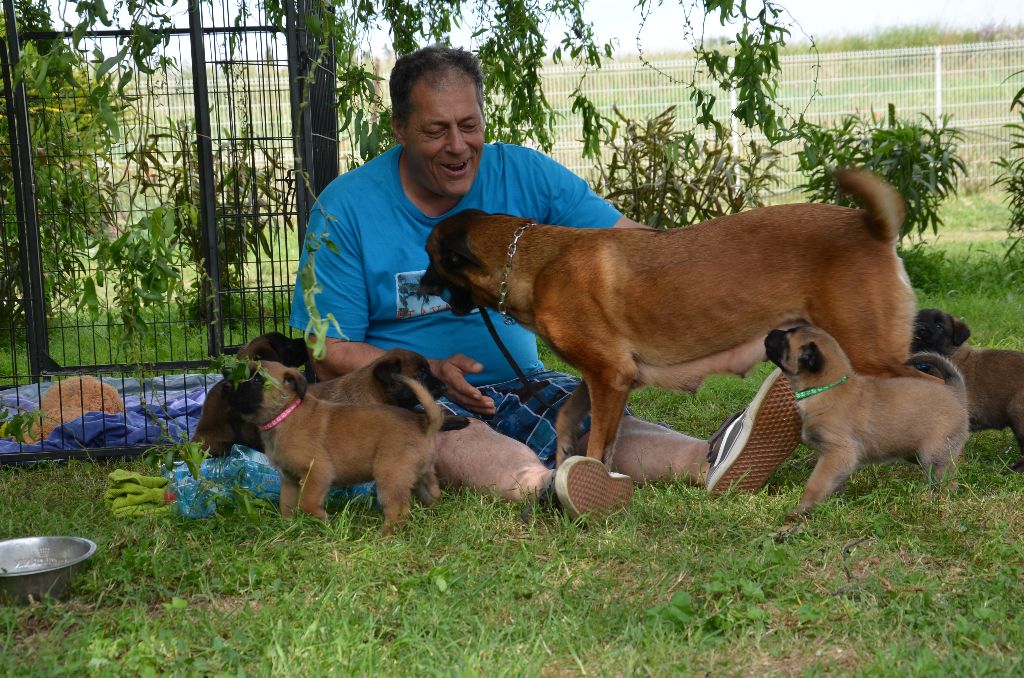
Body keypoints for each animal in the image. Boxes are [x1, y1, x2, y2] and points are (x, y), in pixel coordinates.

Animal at [222, 358, 446, 532]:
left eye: (257, 379)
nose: (225, 384)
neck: (285, 414)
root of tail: (424, 424)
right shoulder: (289, 480)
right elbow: (286, 505)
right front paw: (288, 527)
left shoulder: (317, 472)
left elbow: (307, 503)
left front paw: (324, 524)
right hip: (420, 475)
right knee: (433, 494)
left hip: (390, 476)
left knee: (399, 510)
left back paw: (384, 534)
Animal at [417, 168, 921, 467]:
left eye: (432, 258)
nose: (418, 286)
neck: (532, 263)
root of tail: (868, 225)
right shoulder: (605, 378)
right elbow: (569, 422)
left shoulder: (609, 376)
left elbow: (596, 443)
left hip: (872, 356)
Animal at [770, 327, 966, 518]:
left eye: (785, 339)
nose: (770, 333)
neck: (826, 387)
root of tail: (954, 392)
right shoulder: (834, 459)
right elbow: (835, 483)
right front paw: (835, 504)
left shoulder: (838, 453)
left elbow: (816, 483)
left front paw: (802, 510)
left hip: (934, 455)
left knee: (947, 483)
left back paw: (936, 504)